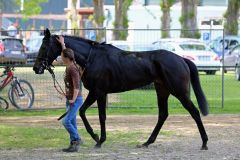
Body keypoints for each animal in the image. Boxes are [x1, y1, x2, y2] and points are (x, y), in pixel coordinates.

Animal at [33, 28, 208, 150]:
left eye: (44, 46)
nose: (36, 68)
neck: (92, 57)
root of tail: (181, 59)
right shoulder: (96, 92)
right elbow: (83, 111)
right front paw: (96, 137)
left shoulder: (99, 92)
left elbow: (101, 116)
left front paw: (99, 140)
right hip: (162, 91)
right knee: (163, 115)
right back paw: (147, 142)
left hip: (179, 92)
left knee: (194, 112)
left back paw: (204, 142)